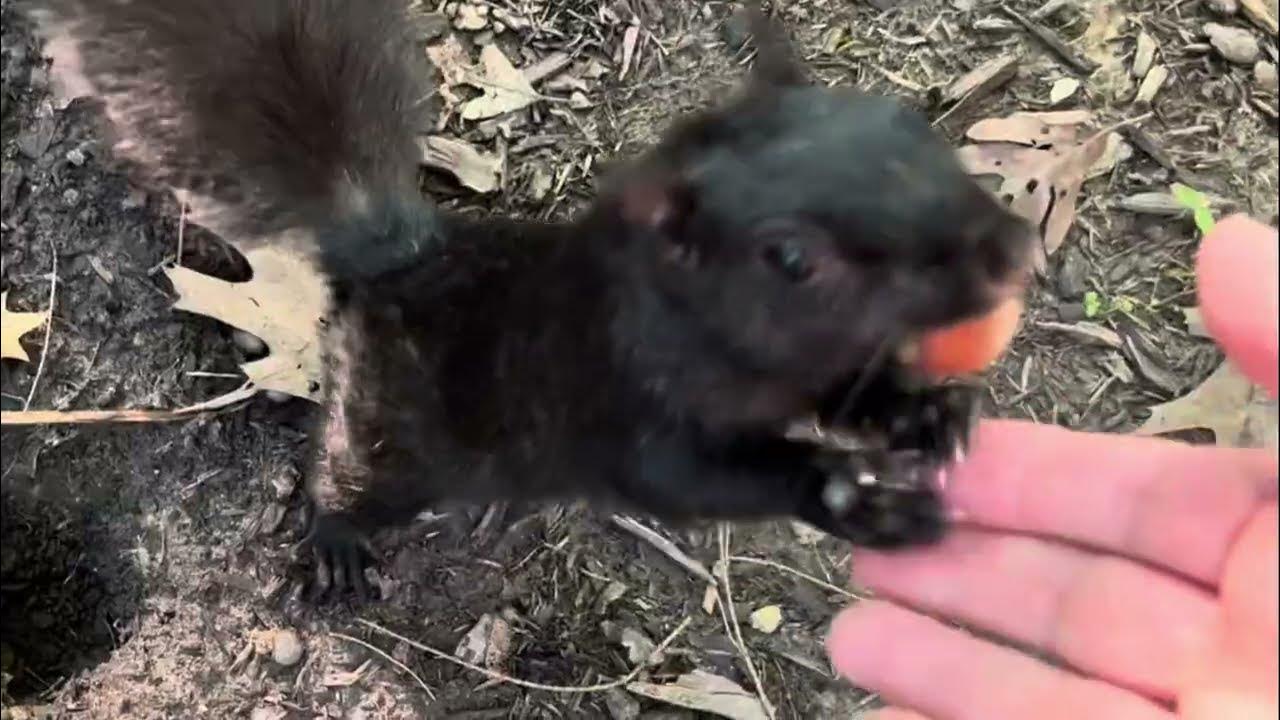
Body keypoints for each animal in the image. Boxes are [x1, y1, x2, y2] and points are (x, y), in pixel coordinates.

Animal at [23, 0, 1034, 600]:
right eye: (791, 257)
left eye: (911, 128)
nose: (1009, 250)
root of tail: (400, 260)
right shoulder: (622, 409)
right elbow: (696, 477)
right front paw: (849, 495)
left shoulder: (825, 367)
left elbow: (858, 395)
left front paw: (927, 414)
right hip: (394, 432)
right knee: (342, 471)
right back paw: (336, 537)